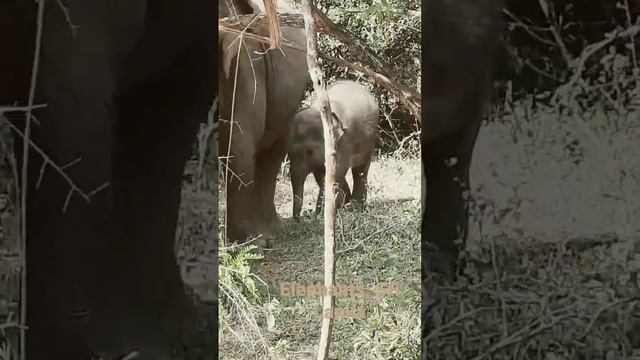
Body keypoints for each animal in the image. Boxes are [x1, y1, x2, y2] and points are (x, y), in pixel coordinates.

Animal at [288, 80, 378, 218]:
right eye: (288, 153)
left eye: (309, 151)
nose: (298, 220)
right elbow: (323, 176)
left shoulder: (344, 142)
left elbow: (335, 173)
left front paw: (319, 216)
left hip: (369, 141)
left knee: (360, 171)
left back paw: (356, 208)